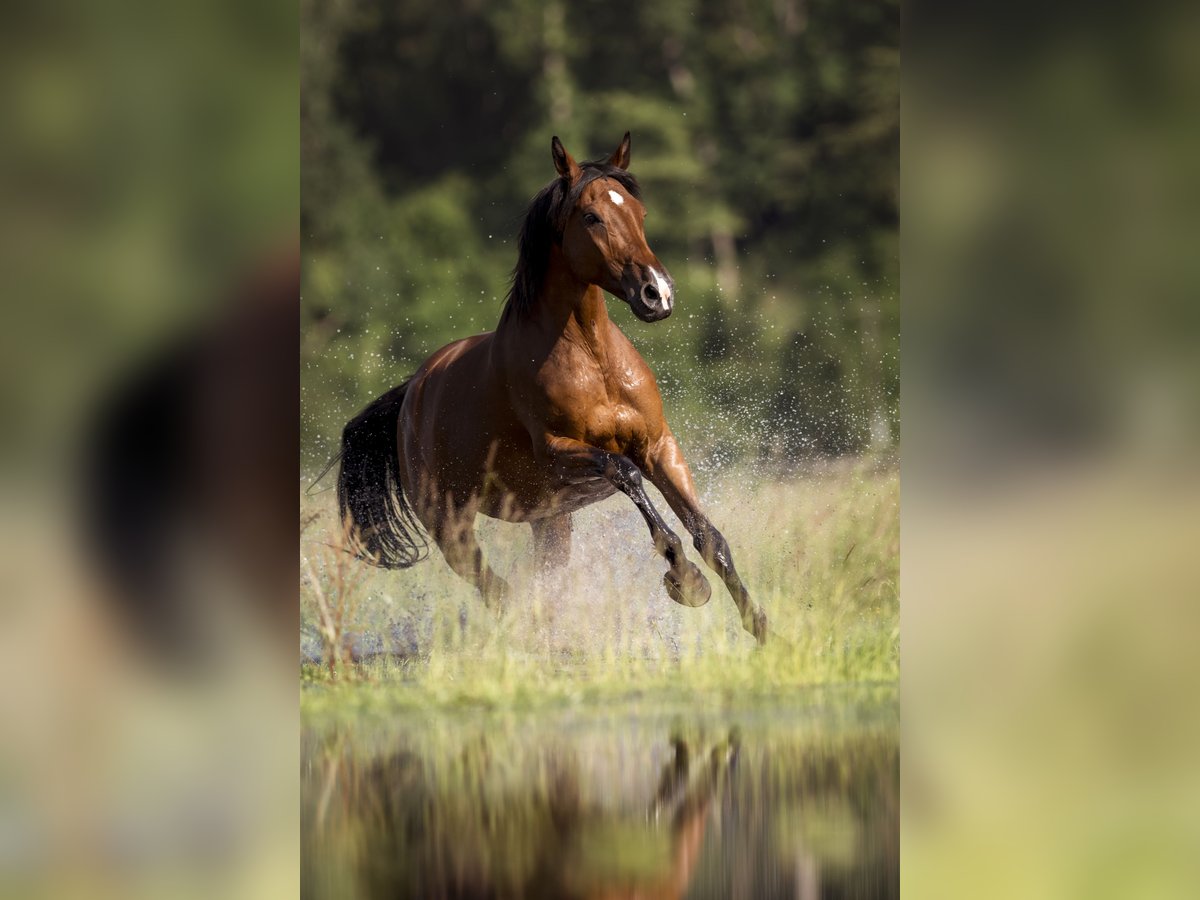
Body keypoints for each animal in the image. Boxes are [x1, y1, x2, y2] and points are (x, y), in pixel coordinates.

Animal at [336, 132, 768, 643]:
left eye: (640, 213)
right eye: (592, 216)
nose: (657, 293)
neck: (593, 360)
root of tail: (410, 397)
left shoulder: (659, 446)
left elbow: (710, 537)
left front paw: (762, 628)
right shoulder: (561, 452)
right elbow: (625, 473)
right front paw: (686, 580)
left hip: (549, 523)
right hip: (451, 526)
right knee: (496, 589)